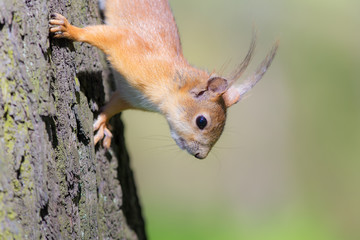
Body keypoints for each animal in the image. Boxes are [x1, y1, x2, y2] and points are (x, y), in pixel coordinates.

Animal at [48, 0, 278, 159]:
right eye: (201, 121)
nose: (200, 156)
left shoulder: (128, 96)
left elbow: (112, 105)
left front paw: (103, 124)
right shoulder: (127, 45)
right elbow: (97, 35)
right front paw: (70, 30)